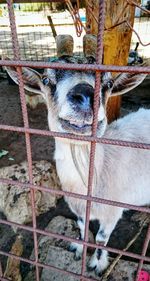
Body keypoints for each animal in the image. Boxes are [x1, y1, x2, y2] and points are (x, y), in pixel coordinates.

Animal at [4, 34, 150, 274]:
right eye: (46, 80)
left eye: (108, 84)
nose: (85, 94)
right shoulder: (77, 207)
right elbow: (82, 227)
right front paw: (78, 250)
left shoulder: (112, 212)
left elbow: (101, 239)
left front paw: (97, 265)